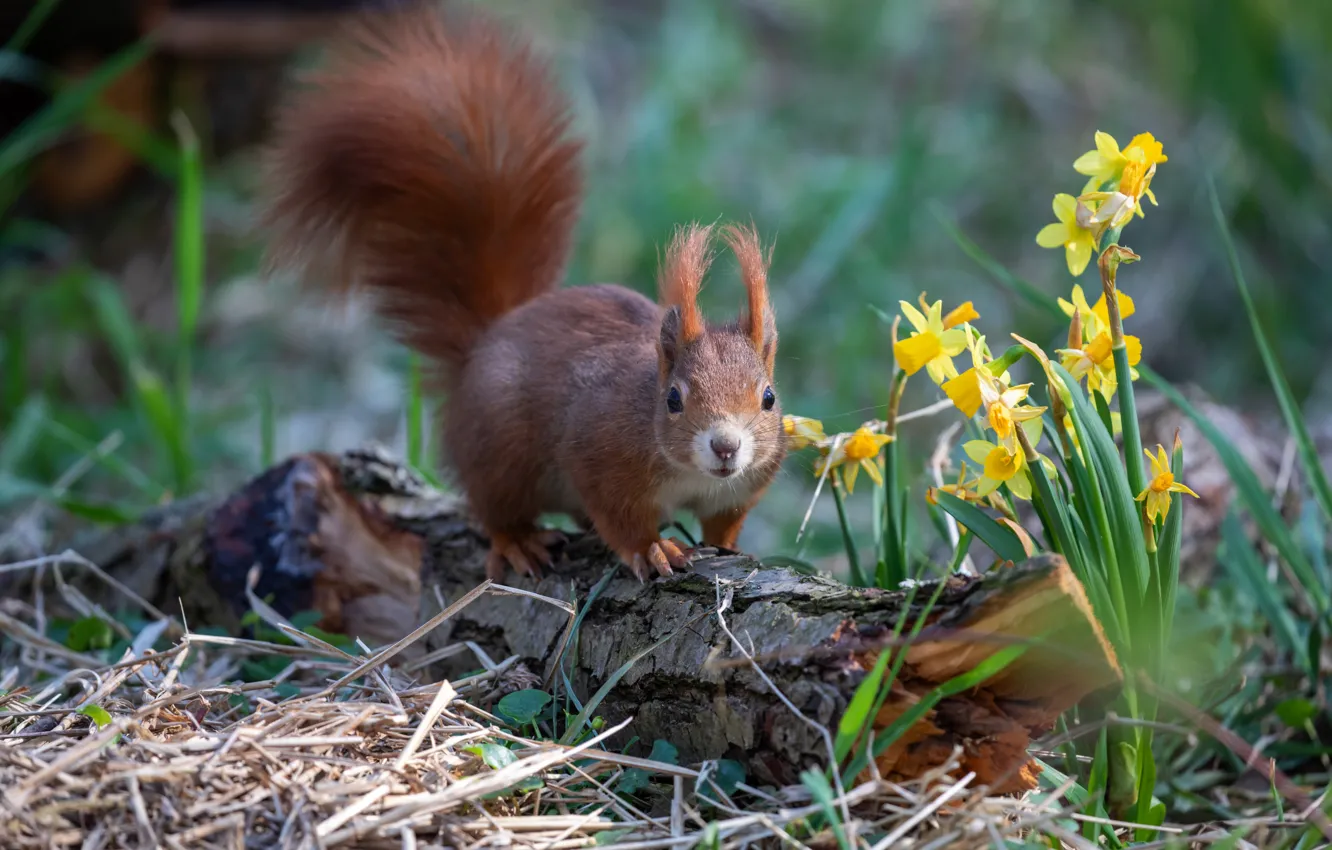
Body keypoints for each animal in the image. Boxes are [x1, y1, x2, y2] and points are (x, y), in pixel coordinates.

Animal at [258, 2, 785, 582]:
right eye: (673, 399)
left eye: (768, 398)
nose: (726, 447)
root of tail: (484, 344)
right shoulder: (599, 455)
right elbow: (620, 517)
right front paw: (653, 548)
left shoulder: (742, 487)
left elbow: (725, 522)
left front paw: (733, 549)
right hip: (500, 450)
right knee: (496, 507)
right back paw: (518, 542)